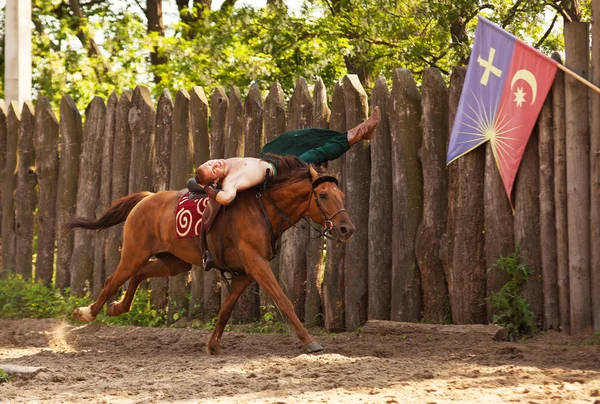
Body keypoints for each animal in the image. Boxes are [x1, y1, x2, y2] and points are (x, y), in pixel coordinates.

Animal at [64, 155, 356, 354]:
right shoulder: (256, 264)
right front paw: (309, 341)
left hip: (173, 262)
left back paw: (117, 308)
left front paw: (213, 344)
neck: (263, 206)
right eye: (323, 195)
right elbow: (283, 300)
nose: (346, 229)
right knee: (112, 280)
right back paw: (86, 313)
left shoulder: (246, 272)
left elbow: (226, 309)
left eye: (340, 194)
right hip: (134, 253)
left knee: (138, 275)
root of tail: (146, 198)